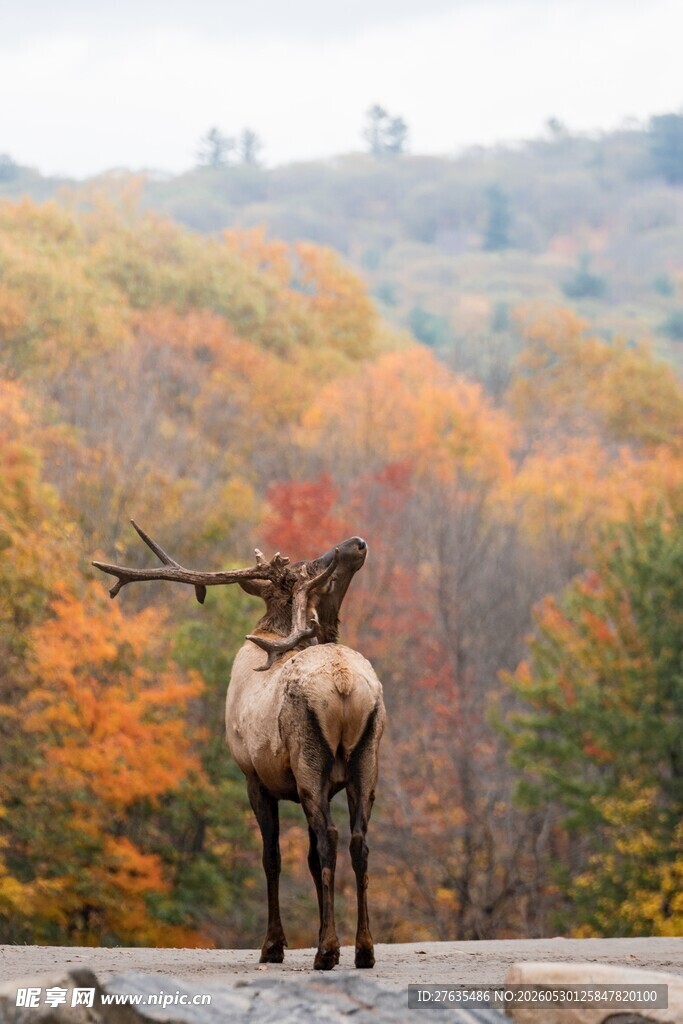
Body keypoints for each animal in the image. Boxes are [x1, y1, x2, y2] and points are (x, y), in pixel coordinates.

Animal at [93, 522, 385, 971]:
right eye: (310, 565)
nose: (356, 544)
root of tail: (344, 686)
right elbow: (305, 860)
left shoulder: (253, 776)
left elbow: (273, 858)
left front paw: (273, 945)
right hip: (367, 760)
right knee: (358, 841)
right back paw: (364, 950)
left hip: (310, 763)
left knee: (330, 837)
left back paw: (327, 950)